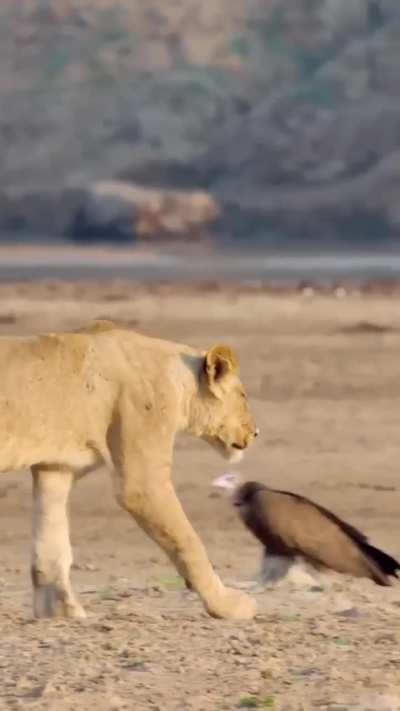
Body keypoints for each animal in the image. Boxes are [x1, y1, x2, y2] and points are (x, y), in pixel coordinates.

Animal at [0, 320, 259, 621]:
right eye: (243, 395)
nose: (255, 433)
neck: (179, 380)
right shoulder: (143, 482)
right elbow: (189, 541)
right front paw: (228, 605)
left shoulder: (57, 467)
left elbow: (52, 542)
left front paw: (62, 612)